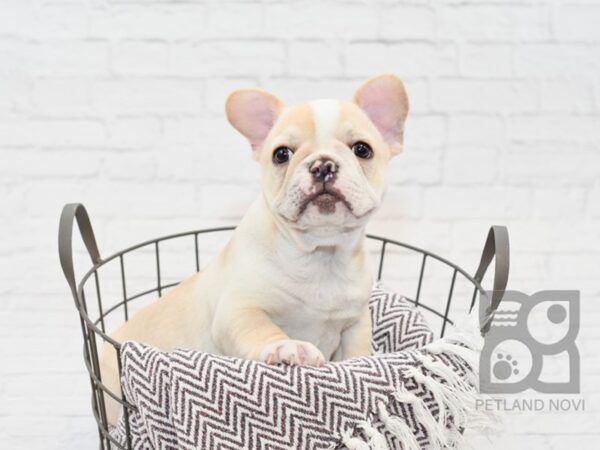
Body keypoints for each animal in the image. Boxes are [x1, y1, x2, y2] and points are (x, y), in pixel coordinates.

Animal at [102, 74, 408, 426]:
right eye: (281, 154)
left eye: (362, 149)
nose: (322, 165)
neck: (320, 254)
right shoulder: (239, 310)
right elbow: (262, 329)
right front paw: (290, 349)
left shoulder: (355, 322)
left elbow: (357, 352)